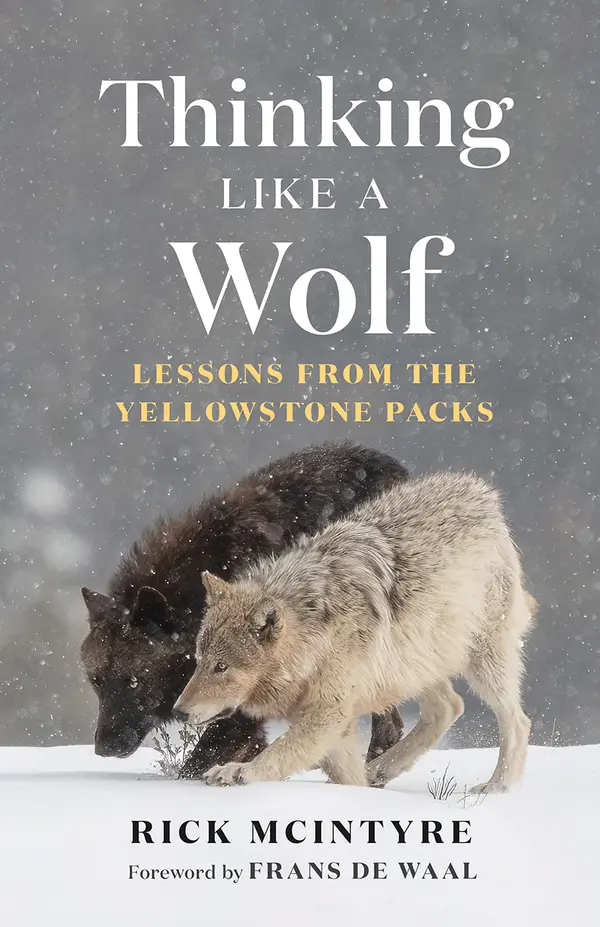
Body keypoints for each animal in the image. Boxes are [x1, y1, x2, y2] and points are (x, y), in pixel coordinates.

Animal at [80, 441, 408, 777]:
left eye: (135, 681)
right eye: (96, 682)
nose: (104, 748)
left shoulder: (243, 710)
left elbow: (195, 764)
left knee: (388, 726)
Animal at [174, 471, 537, 793]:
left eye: (222, 667)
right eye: (199, 661)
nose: (178, 712)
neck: (314, 633)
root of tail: (483, 493)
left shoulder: (330, 714)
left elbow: (280, 751)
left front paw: (237, 772)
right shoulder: (333, 723)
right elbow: (345, 777)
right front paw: (360, 795)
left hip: (483, 662)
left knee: (517, 722)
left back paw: (497, 787)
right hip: (413, 667)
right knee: (449, 707)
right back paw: (379, 770)